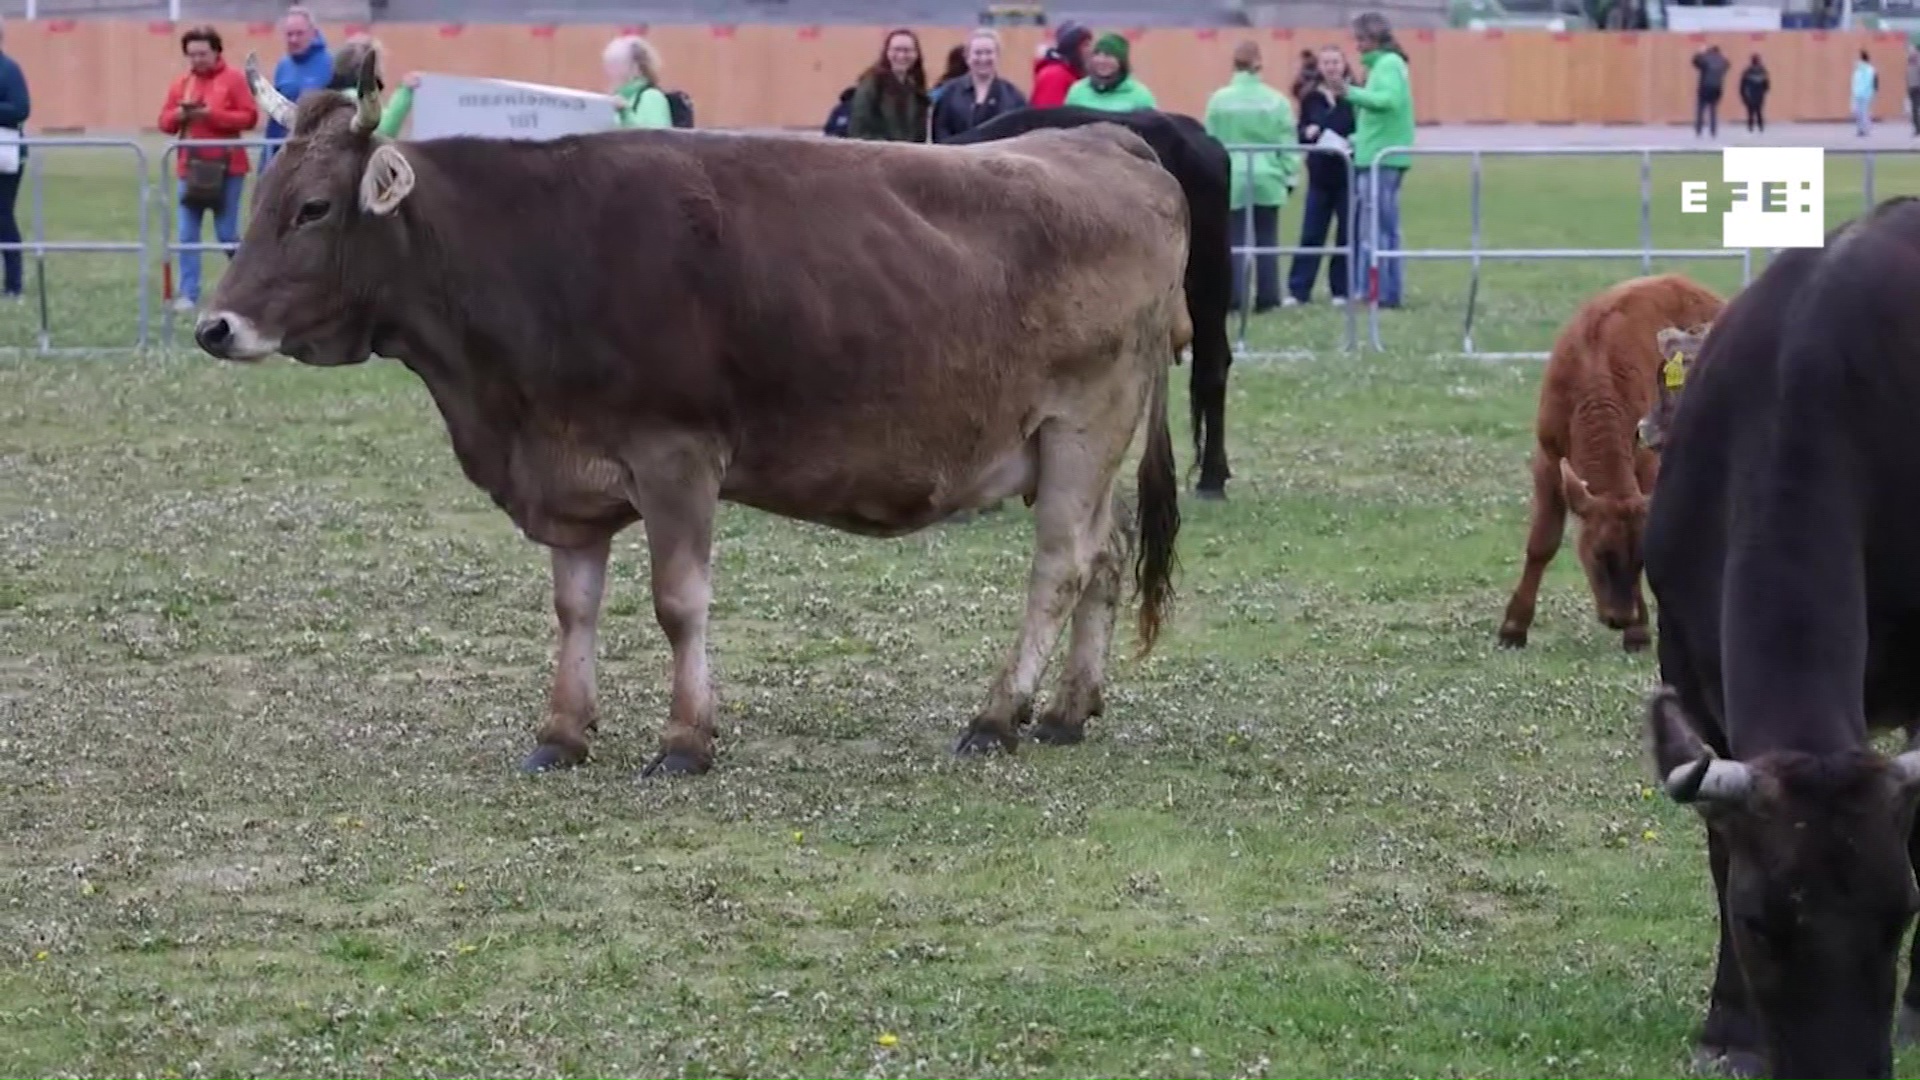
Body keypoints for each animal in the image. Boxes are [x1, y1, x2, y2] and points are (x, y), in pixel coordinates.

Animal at [214, 56, 1198, 772]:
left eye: (311, 208)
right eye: (259, 204)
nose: (212, 326)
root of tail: (1111, 145)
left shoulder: (676, 453)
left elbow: (678, 601)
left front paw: (686, 737)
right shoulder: (567, 473)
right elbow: (574, 608)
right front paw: (562, 732)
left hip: (1082, 425)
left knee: (1061, 566)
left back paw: (997, 715)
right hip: (1076, 449)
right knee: (1107, 555)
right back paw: (1067, 709)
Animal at [1497, 272, 1728, 653]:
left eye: (1639, 561)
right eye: (1597, 554)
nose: (1621, 617)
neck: (1594, 367)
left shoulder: (1647, 462)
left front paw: (1640, 630)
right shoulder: (1548, 458)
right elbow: (1542, 543)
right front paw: (1514, 626)